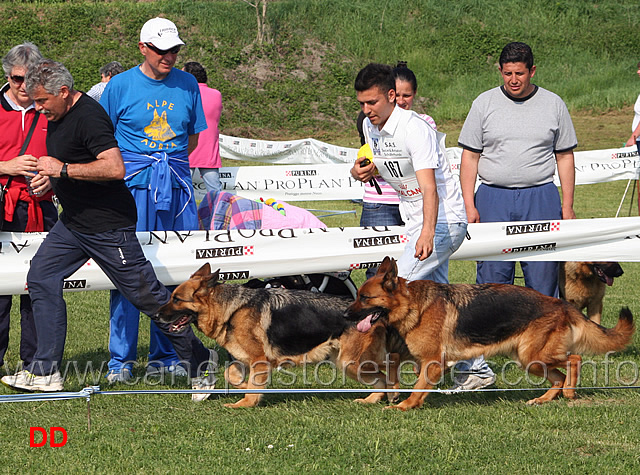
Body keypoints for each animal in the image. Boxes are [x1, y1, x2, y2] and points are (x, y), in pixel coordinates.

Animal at [158, 264, 408, 410]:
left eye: (177, 299)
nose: (158, 316)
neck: (230, 309)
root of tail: (373, 313)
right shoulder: (242, 360)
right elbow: (232, 376)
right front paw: (246, 390)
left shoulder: (258, 360)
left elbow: (249, 385)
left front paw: (245, 402)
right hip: (349, 361)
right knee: (384, 374)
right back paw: (375, 399)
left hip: (350, 362)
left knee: (385, 374)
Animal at [342, 258, 632, 410]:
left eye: (364, 298)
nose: (344, 315)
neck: (412, 304)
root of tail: (561, 304)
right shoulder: (421, 362)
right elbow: (402, 380)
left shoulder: (432, 362)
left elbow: (417, 387)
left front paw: (404, 406)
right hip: (529, 360)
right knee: (558, 376)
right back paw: (544, 398)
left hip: (533, 355)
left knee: (575, 360)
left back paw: (570, 393)